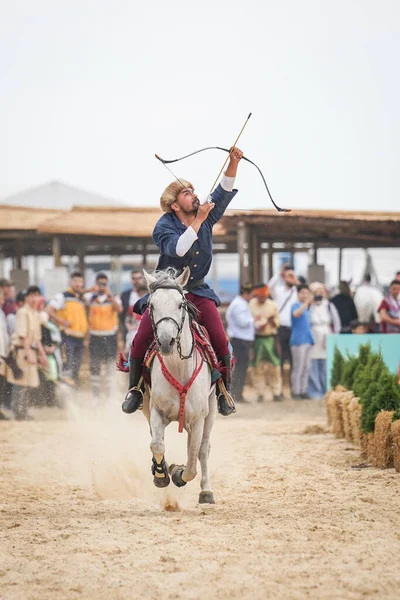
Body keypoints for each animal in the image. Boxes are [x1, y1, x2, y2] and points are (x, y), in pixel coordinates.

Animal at [142, 268, 217, 506]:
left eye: (179, 304)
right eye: (152, 305)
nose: (166, 341)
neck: (179, 369)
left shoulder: (198, 418)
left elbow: (193, 461)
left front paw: (178, 473)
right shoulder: (156, 410)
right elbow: (157, 444)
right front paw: (161, 474)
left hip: (212, 408)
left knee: (204, 449)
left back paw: (206, 491)